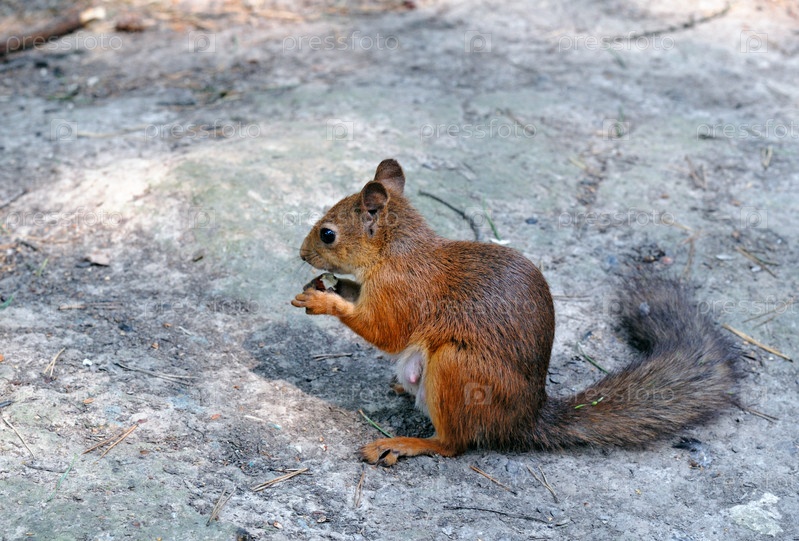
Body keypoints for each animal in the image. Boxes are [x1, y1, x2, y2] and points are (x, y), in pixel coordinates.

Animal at [292, 159, 740, 466]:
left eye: (328, 234)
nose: (301, 254)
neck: (394, 251)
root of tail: (525, 421)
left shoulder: (404, 293)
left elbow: (385, 331)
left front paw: (323, 301)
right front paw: (327, 286)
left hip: (458, 368)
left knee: (453, 445)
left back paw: (405, 444)